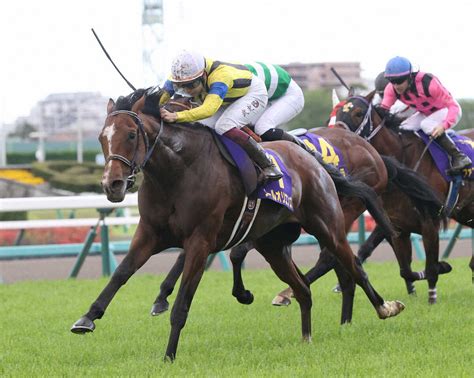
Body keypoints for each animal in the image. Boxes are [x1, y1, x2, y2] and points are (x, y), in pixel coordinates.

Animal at [70, 90, 404, 362]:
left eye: (130, 135)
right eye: (101, 137)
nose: (112, 184)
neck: (176, 172)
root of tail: (311, 159)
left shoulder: (200, 240)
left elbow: (182, 302)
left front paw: (169, 356)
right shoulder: (150, 234)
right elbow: (121, 273)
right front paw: (87, 318)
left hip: (328, 225)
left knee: (351, 265)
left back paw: (385, 307)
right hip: (273, 246)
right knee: (303, 288)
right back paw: (306, 336)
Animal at [336, 91, 472, 302]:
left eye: (358, 113)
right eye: (337, 112)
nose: (337, 134)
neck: (403, 157)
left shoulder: (429, 221)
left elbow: (430, 268)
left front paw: (432, 297)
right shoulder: (399, 227)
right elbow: (406, 270)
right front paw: (442, 267)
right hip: (466, 212)